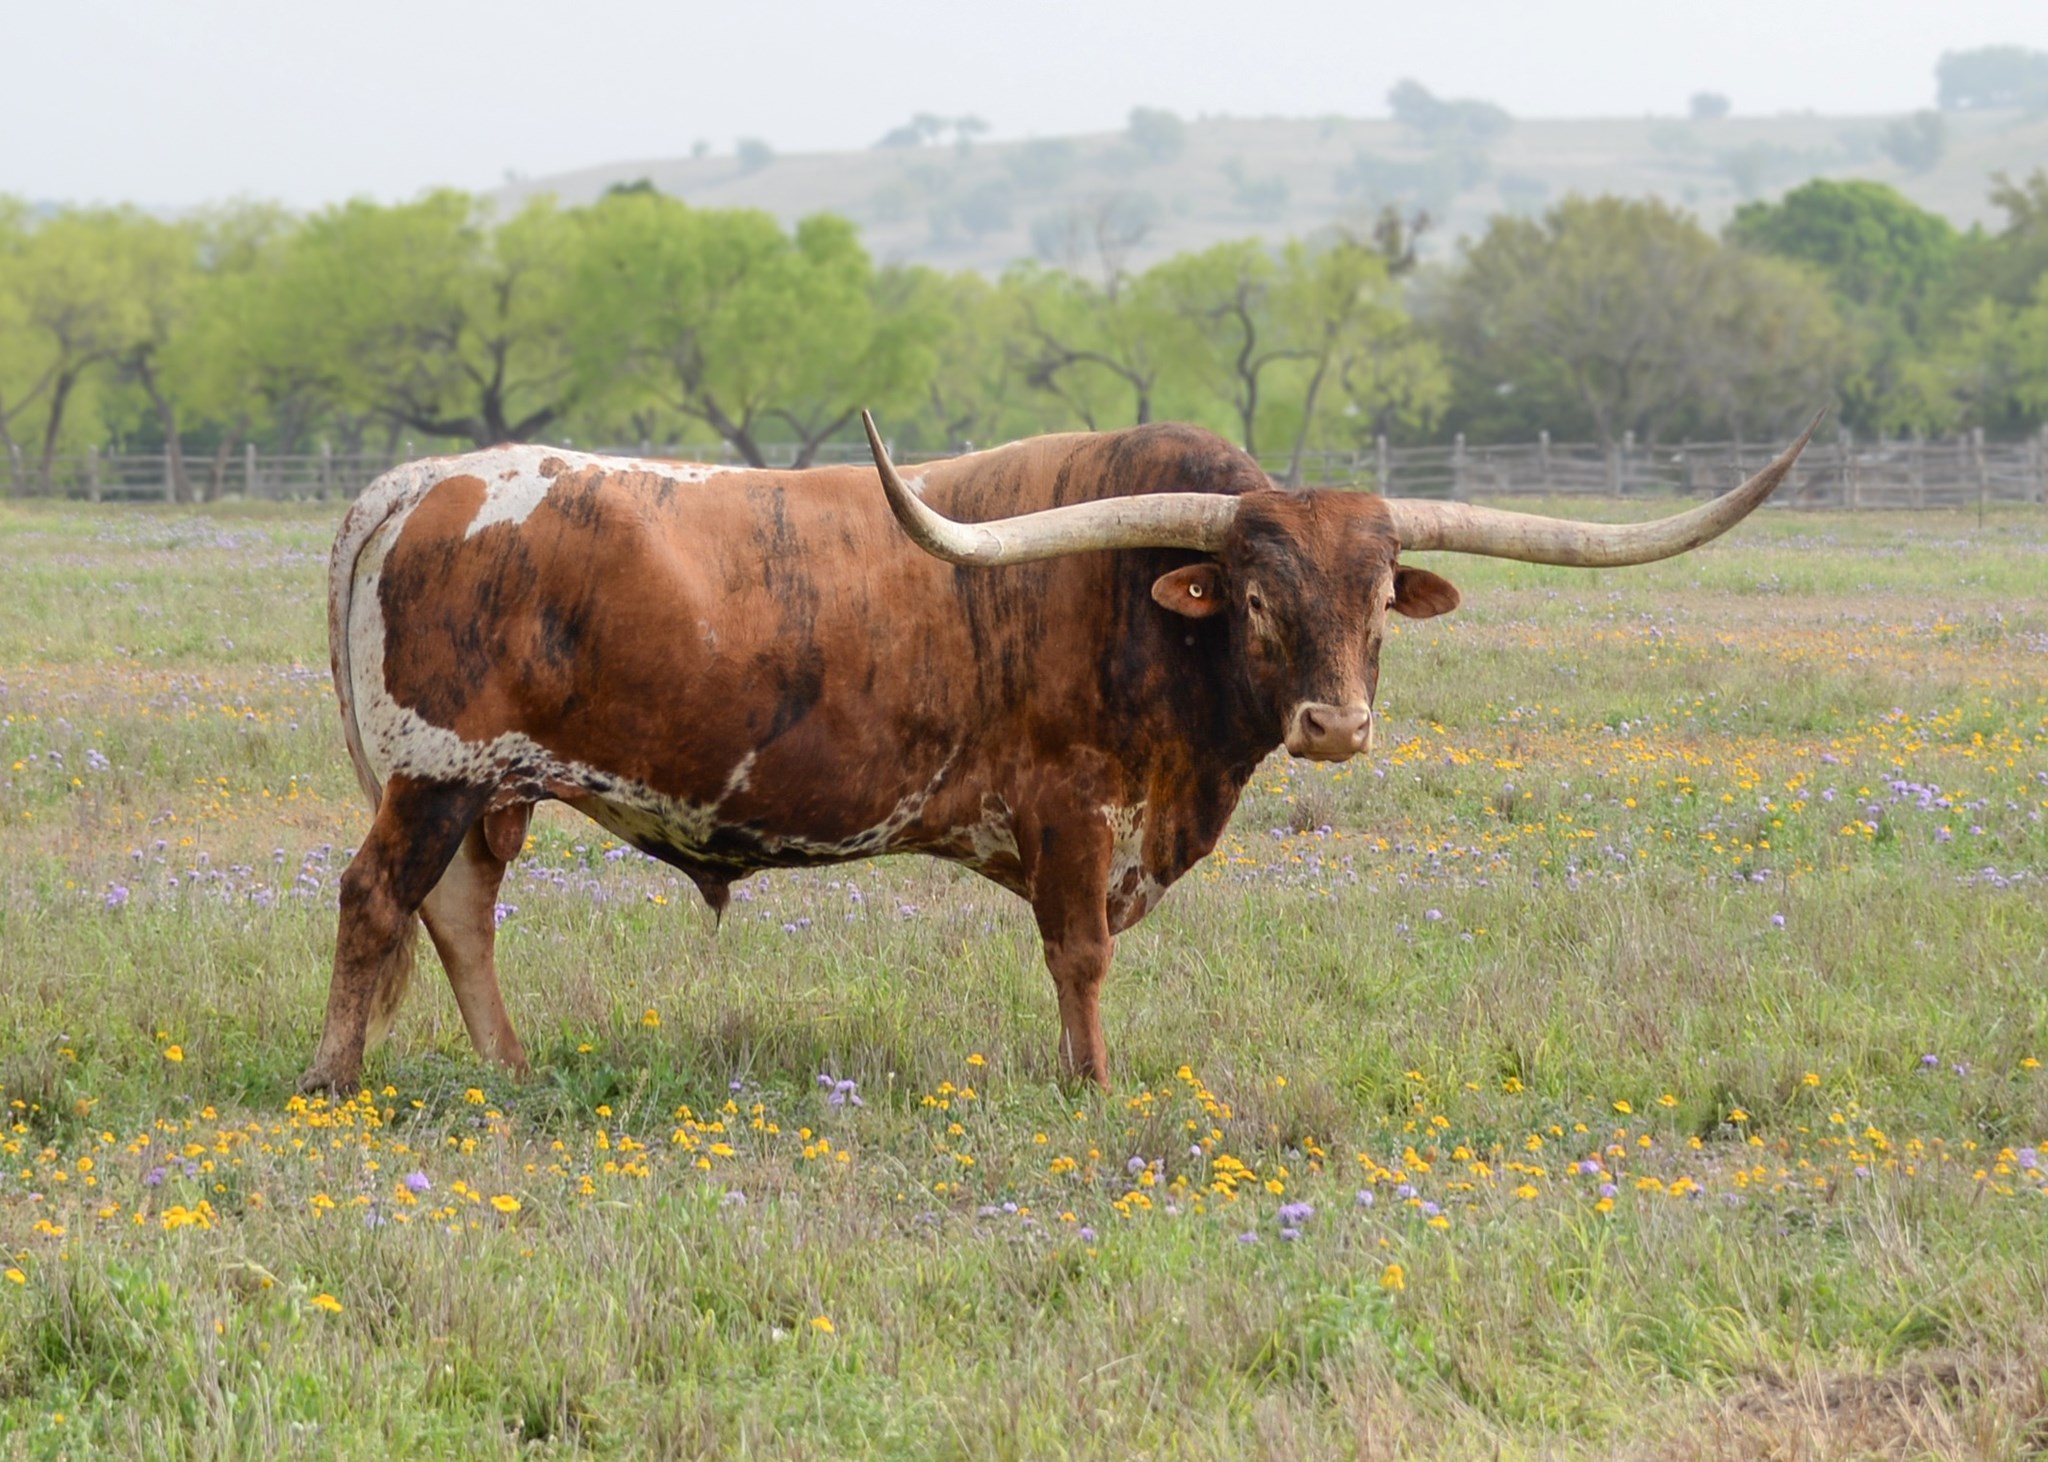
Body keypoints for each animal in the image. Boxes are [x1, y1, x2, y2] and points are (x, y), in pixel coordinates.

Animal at [300, 413, 1814, 1095]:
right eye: (1254, 597)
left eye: (1381, 596)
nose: (1335, 724)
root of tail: (416, 483)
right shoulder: (1075, 813)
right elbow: (1078, 952)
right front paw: (1091, 1083)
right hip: (437, 770)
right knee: (376, 902)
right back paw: (333, 1080)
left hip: (480, 786)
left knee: (458, 912)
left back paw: (509, 1067)